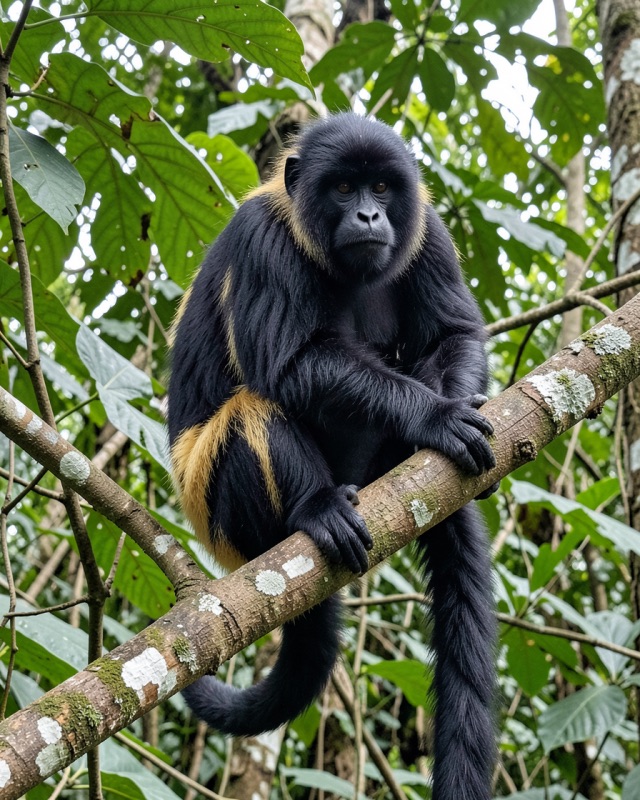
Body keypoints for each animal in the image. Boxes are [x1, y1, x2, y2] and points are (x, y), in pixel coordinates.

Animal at [168, 112, 496, 800]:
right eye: (343, 189)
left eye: (381, 187)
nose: (369, 215)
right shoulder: (262, 238)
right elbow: (289, 365)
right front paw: (433, 417)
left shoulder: (427, 232)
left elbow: (453, 333)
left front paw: (455, 411)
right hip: (218, 511)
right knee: (256, 407)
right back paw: (315, 510)